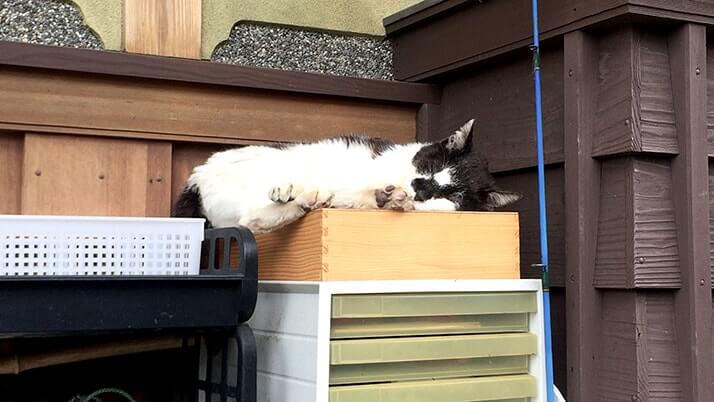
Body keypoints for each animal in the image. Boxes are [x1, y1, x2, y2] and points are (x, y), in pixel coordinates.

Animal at [171, 119, 516, 232]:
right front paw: (391, 195)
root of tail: (195, 178)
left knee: (251, 221)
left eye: (451, 194)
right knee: (251, 216)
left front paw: (391, 199)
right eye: (430, 169)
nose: (418, 189)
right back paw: (298, 194)